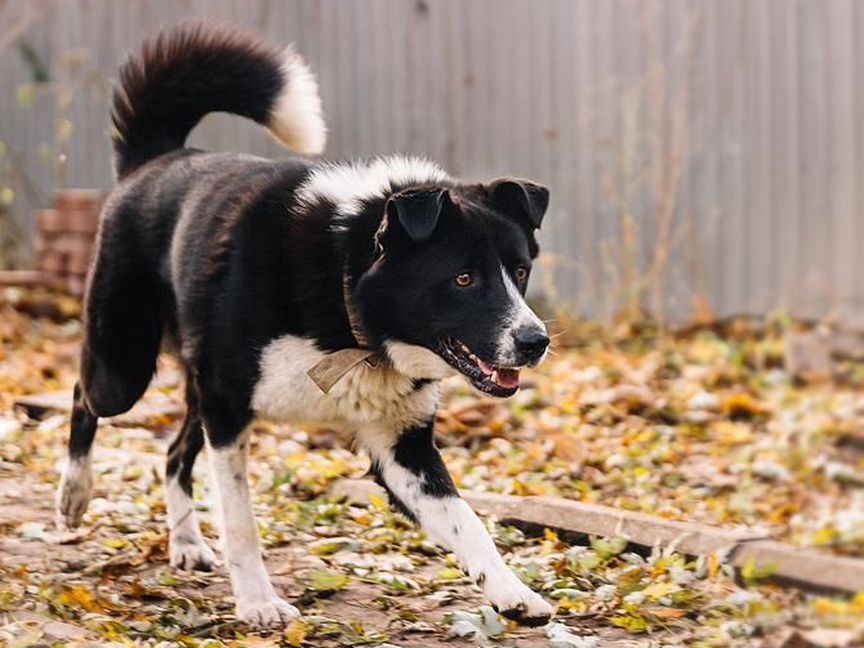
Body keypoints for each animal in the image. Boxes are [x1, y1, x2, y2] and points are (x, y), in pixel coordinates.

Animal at [55, 25, 552, 628]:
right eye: (463, 278)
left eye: (520, 271)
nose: (535, 343)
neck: (345, 295)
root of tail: (155, 159)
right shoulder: (229, 413)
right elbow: (241, 521)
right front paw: (258, 603)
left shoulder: (402, 447)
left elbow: (467, 522)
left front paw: (513, 592)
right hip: (126, 365)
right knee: (85, 395)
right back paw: (74, 495)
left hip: (199, 385)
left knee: (173, 453)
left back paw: (187, 543)